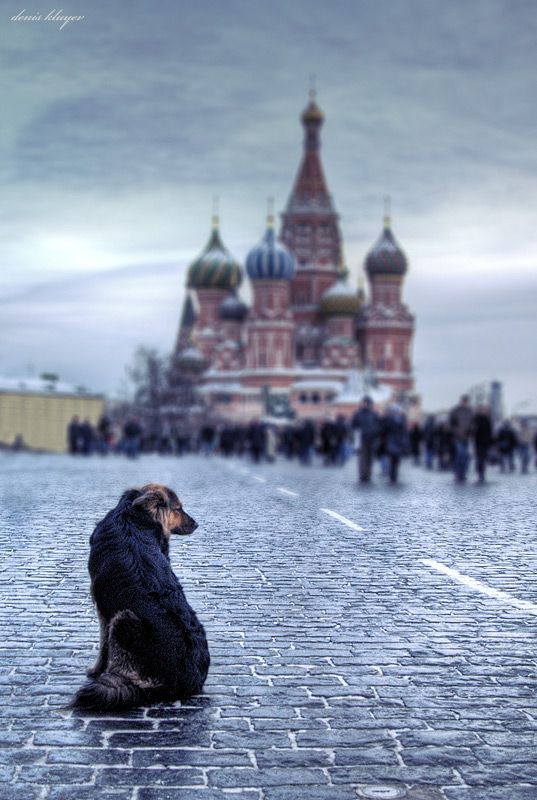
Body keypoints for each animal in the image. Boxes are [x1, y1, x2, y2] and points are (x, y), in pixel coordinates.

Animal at [72, 484, 210, 708]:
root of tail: (188, 682)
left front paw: (94, 671)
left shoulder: (103, 610)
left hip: (123, 619)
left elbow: (103, 646)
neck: (132, 517)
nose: (196, 524)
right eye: (179, 509)